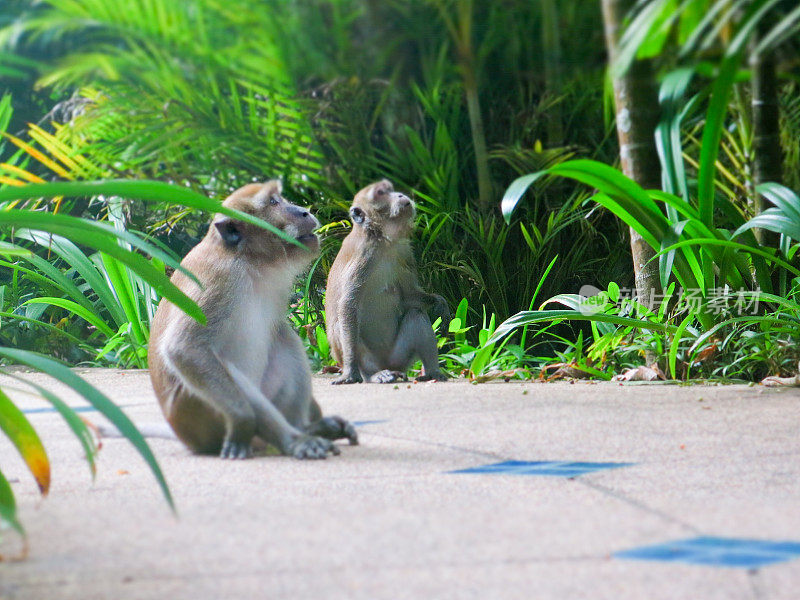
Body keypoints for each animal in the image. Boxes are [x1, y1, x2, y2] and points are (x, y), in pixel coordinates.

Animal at [148, 179, 360, 460]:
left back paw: (307, 428)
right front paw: (243, 422)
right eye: (273, 202)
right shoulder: (220, 280)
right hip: (197, 414)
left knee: (283, 337)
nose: (303, 211)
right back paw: (294, 440)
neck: (248, 259)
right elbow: (184, 348)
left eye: (279, 198)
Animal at [324, 178, 450, 384]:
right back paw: (373, 374)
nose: (399, 194)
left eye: (390, 189)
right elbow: (348, 306)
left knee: (416, 314)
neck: (383, 240)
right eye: (380, 193)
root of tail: (387, 364)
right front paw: (350, 372)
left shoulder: (404, 251)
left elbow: (408, 297)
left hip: (398, 357)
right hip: (369, 359)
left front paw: (439, 302)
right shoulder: (364, 255)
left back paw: (432, 372)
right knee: (342, 324)